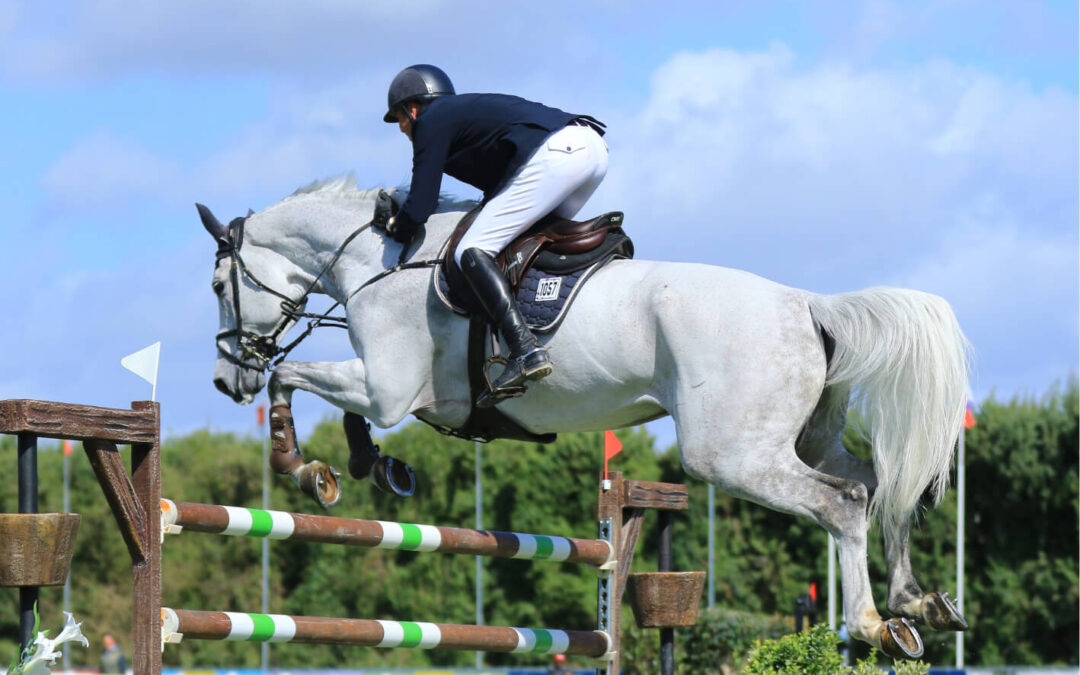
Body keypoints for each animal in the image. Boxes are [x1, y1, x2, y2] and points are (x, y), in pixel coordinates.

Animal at [197, 177, 971, 659]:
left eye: (216, 285)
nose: (227, 378)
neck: (381, 260)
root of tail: (810, 305)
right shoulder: (401, 394)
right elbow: (340, 408)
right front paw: (371, 465)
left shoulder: (387, 388)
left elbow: (297, 376)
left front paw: (301, 465)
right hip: (800, 438)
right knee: (875, 482)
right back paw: (916, 601)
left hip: (732, 454)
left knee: (842, 503)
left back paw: (872, 624)